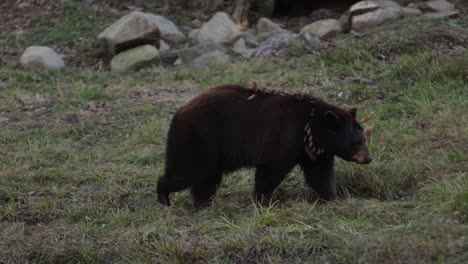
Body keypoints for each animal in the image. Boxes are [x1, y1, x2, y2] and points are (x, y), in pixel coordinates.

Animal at [157, 83, 372, 207]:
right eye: (357, 141)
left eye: (364, 138)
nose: (369, 158)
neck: (308, 127)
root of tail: (179, 112)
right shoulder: (283, 139)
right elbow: (270, 171)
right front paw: (260, 200)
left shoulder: (312, 152)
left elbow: (319, 174)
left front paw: (332, 197)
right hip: (199, 140)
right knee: (188, 172)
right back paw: (164, 198)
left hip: (212, 152)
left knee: (207, 178)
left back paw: (203, 203)